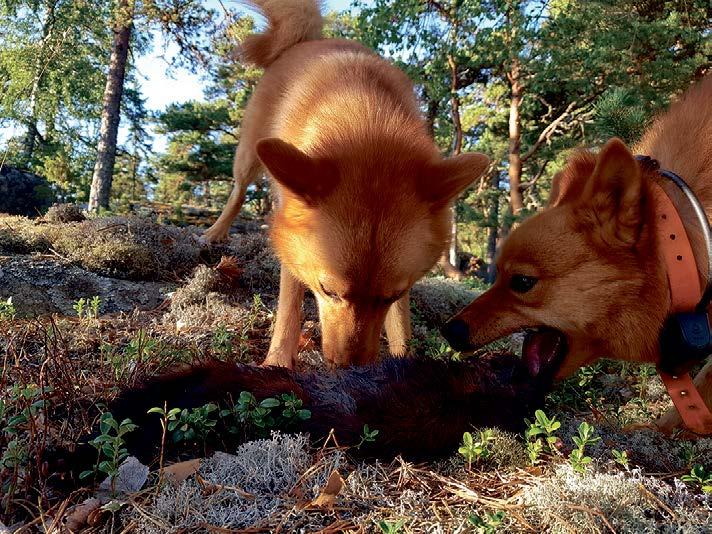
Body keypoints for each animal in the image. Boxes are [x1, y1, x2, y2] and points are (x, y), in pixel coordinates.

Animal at [206, 0, 490, 368]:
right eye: (328, 291)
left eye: (393, 294)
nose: (350, 367)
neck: (366, 120)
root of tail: (305, 41)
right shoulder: (292, 240)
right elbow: (289, 304)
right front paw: (278, 361)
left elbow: (400, 321)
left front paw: (404, 358)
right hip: (250, 155)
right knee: (238, 191)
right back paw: (215, 231)